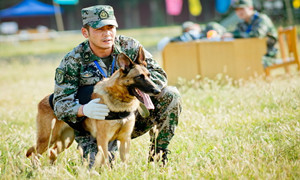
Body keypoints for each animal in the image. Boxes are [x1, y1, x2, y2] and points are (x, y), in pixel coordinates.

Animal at [26, 47, 161, 167]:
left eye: (149, 75)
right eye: (139, 77)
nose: (157, 90)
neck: (119, 99)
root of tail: (46, 99)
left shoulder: (125, 140)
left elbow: (124, 164)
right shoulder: (103, 140)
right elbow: (106, 162)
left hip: (65, 140)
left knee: (52, 152)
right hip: (47, 138)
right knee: (35, 154)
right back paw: (36, 170)